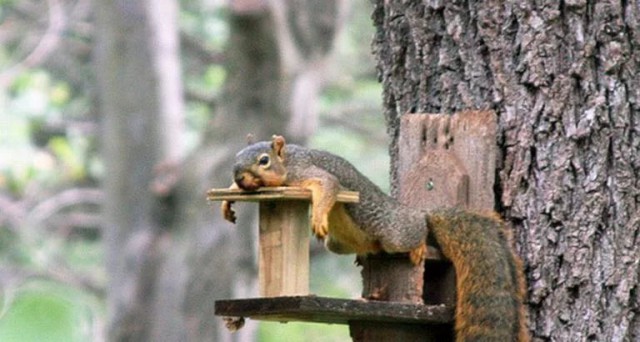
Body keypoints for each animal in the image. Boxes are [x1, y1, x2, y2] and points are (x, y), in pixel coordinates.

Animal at [220, 135, 528, 340]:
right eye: (235, 159)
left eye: (264, 160)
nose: (242, 178)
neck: (288, 161)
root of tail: (413, 211)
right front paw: (228, 197)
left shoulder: (307, 172)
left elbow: (328, 185)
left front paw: (318, 216)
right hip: (339, 243)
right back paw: (364, 253)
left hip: (395, 231)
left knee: (415, 230)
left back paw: (417, 244)